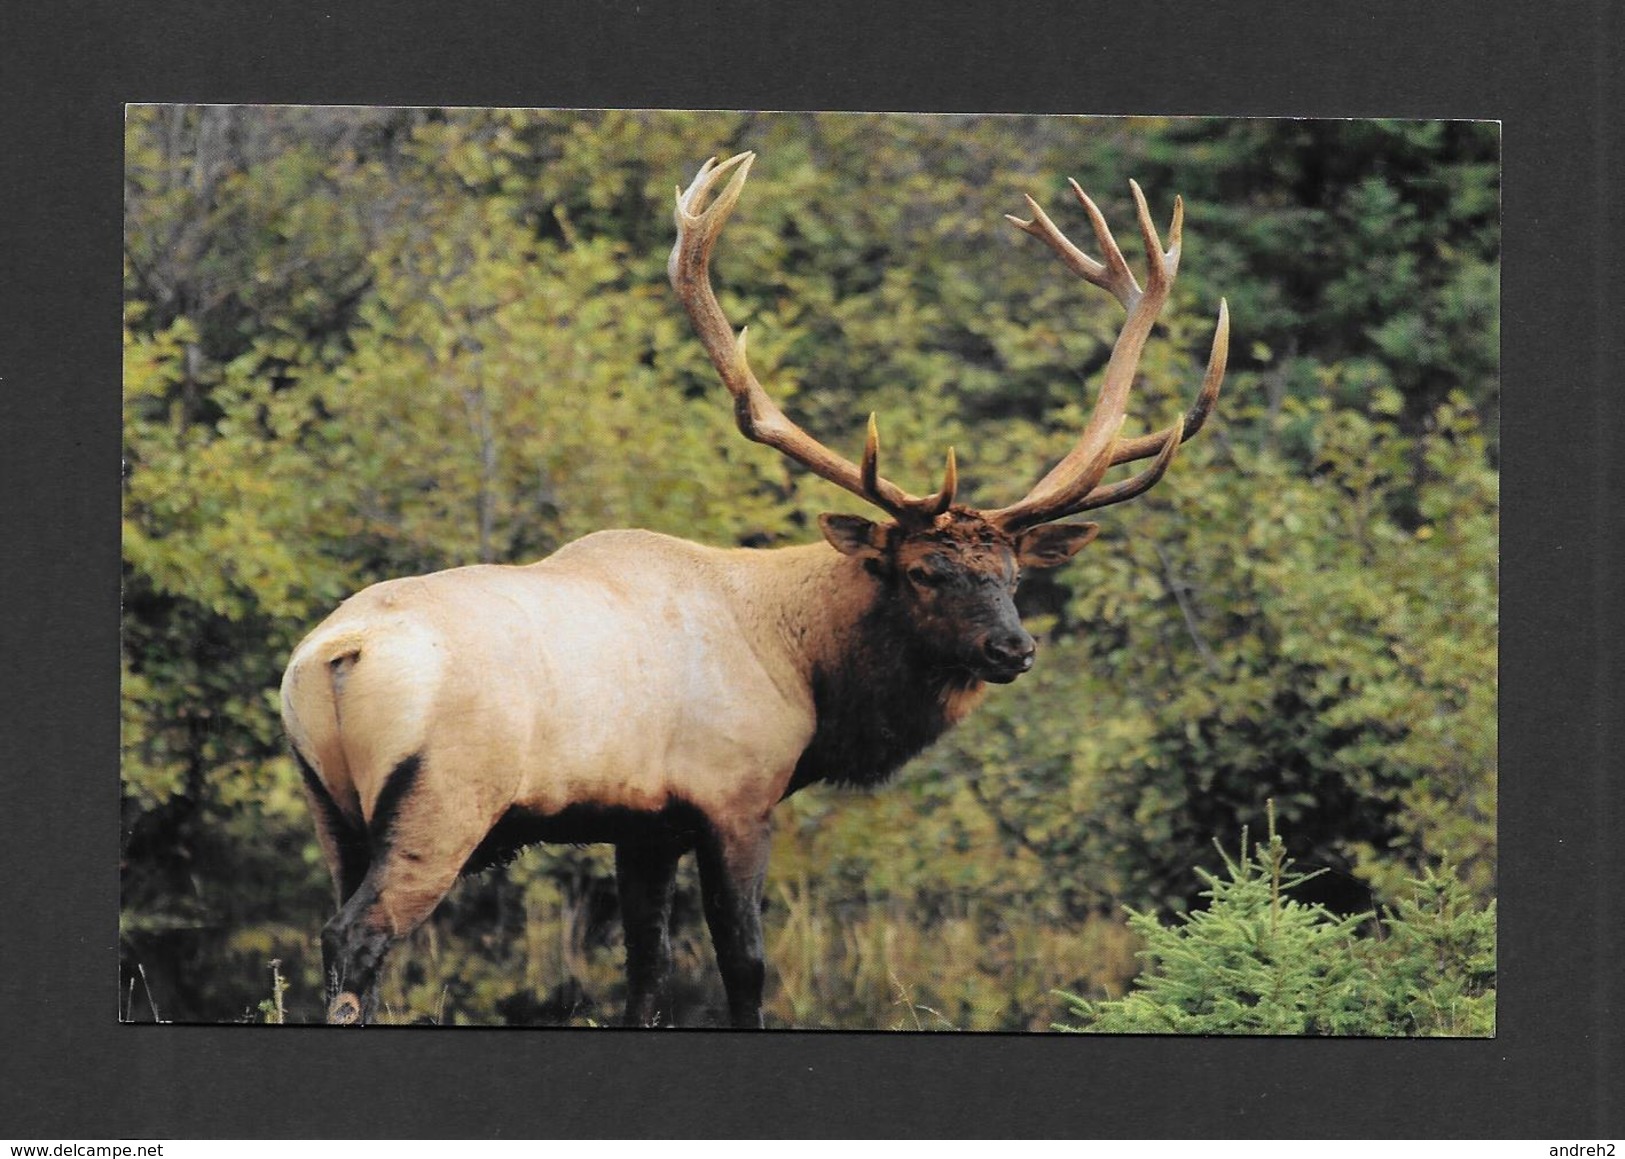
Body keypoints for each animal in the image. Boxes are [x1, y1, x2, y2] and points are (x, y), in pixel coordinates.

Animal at [279, 149, 1222, 1027]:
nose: (1012, 646)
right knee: (358, 935)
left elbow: (647, 969)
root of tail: (333, 654)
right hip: (442, 797)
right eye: (925, 570)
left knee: (335, 929)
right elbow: (745, 962)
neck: (804, 667)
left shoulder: (643, 823)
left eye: (1013, 574)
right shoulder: (735, 794)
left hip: (330, 806)